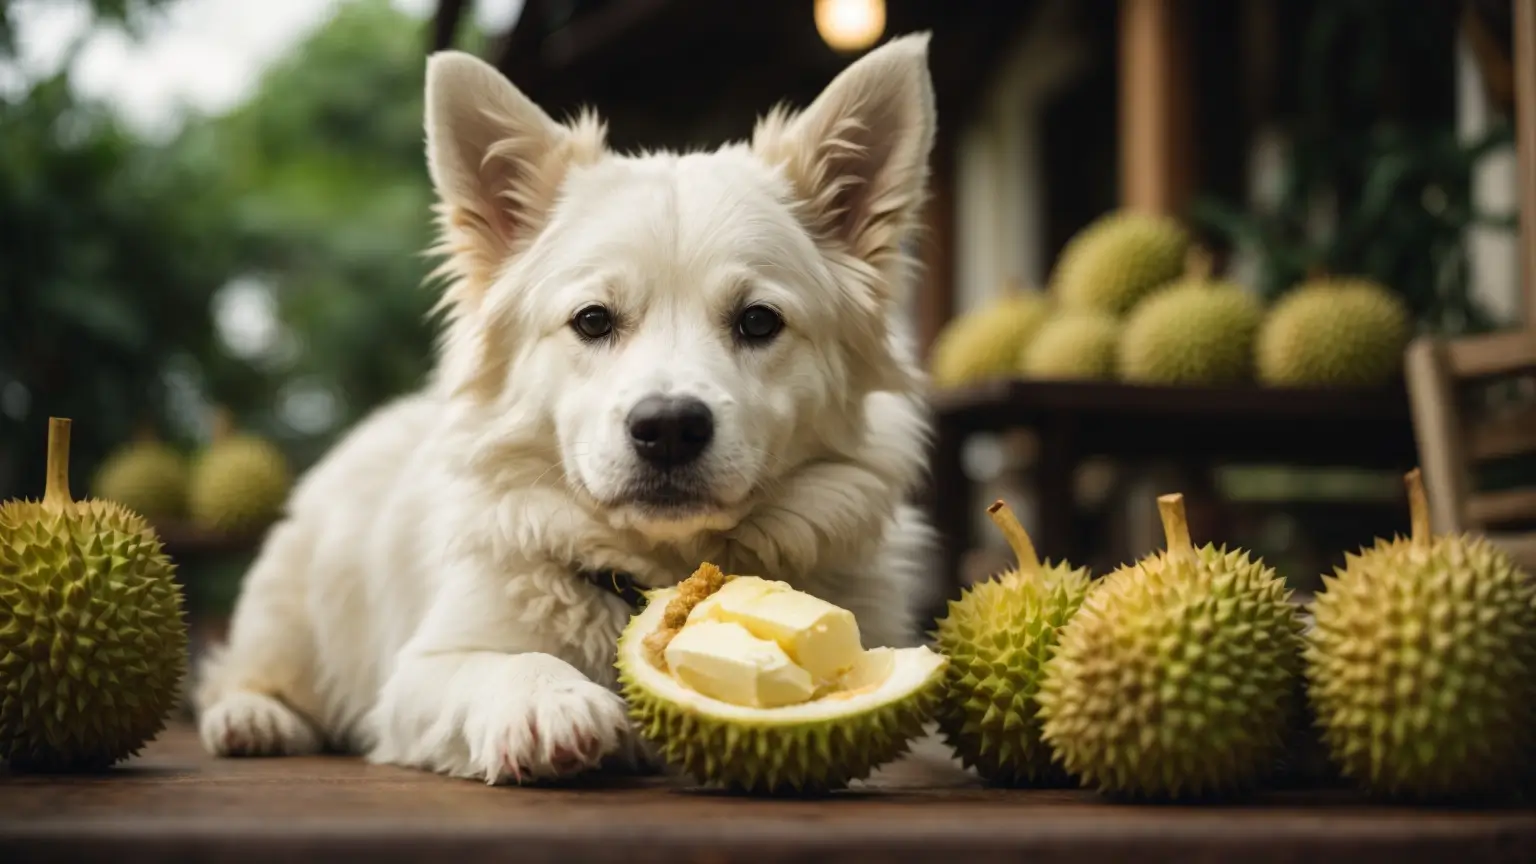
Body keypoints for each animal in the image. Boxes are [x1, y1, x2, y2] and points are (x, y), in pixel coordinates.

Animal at [198, 31, 940, 780]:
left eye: (758, 321)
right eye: (592, 320)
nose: (669, 429)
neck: (656, 575)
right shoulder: (416, 674)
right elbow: (500, 663)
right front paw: (547, 700)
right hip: (290, 617)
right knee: (239, 675)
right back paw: (254, 717)